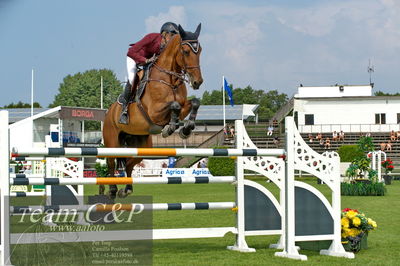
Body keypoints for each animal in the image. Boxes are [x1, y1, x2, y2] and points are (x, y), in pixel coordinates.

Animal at [101, 25, 203, 198]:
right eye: (186, 52)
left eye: (200, 50)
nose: (197, 82)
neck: (170, 79)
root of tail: (108, 112)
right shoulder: (154, 112)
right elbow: (174, 105)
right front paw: (170, 128)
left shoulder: (184, 105)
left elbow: (193, 103)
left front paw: (186, 129)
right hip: (112, 142)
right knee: (110, 163)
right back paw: (113, 190)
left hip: (141, 145)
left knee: (129, 164)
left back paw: (126, 189)